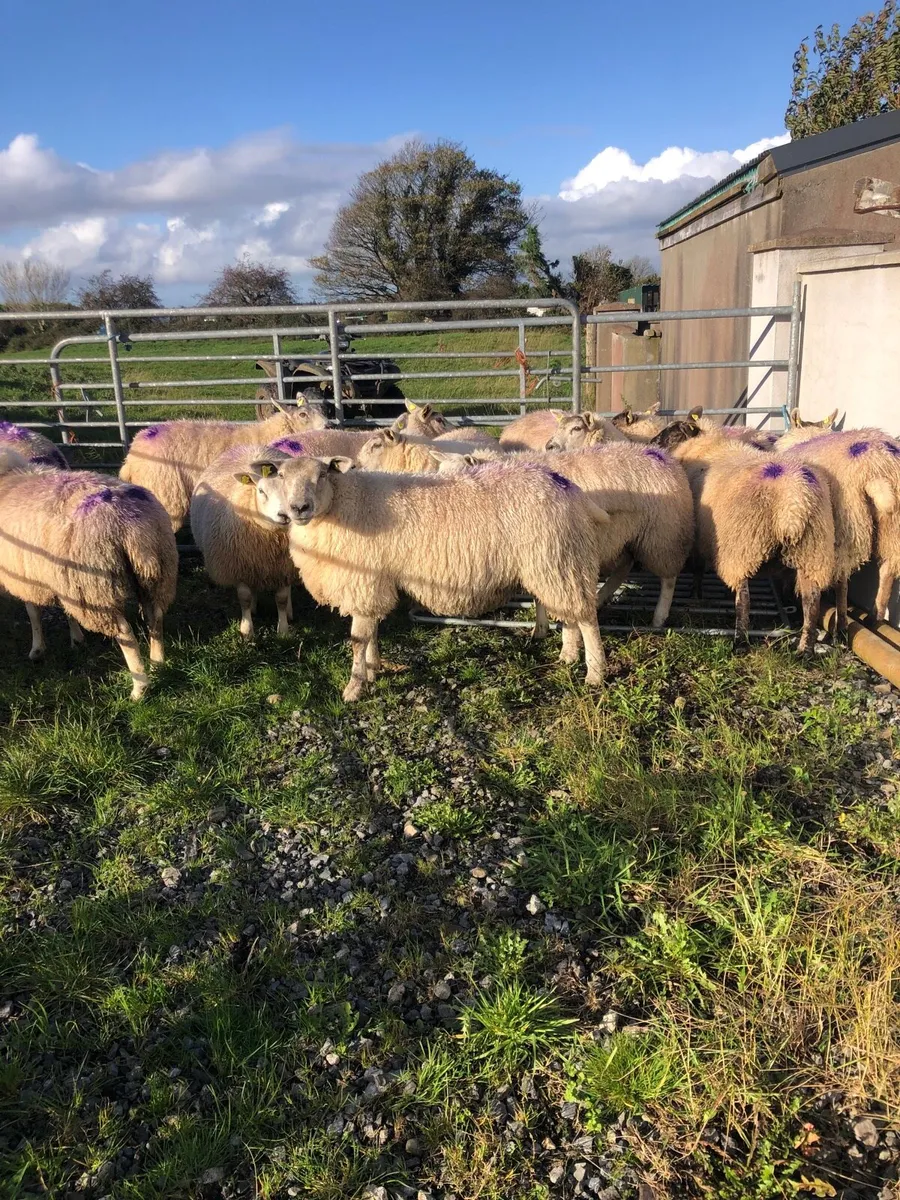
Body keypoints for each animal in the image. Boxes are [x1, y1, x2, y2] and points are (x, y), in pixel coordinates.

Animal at [0, 453, 178, 699]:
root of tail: (130, 525)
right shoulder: (59, 579)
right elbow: (65, 611)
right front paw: (76, 639)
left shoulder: (24, 575)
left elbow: (32, 612)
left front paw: (37, 649)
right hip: (154, 572)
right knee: (156, 617)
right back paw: (157, 664)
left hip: (95, 586)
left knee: (125, 634)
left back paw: (139, 688)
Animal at [190, 444, 296, 639]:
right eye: (261, 491)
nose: (285, 516)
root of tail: (252, 446)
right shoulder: (239, 565)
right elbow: (244, 598)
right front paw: (247, 630)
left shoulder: (284, 567)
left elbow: (282, 599)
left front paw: (283, 630)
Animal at [251, 454, 613, 700]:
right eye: (280, 475)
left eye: (323, 473)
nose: (298, 508)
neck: (344, 502)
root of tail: (565, 485)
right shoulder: (374, 582)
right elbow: (371, 633)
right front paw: (373, 668)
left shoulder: (363, 581)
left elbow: (357, 639)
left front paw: (354, 687)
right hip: (556, 563)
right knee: (570, 615)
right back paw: (567, 657)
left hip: (558, 557)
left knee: (586, 618)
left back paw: (595, 674)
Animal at [430, 443, 694, 630]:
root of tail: (665, 456)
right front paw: (542, 624)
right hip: (627, 534)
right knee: (624, 567)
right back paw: (601, 598)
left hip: (663, 533)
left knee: (669, 577)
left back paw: (659, 616)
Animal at [652, 421, 835, 650]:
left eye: (672, 432)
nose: (652, 443)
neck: (705, 447)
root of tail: (793, 504)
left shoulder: (699, 537)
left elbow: (698, 570)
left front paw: (696, 596)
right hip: (812, 553)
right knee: (811, 603)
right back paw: (805, 649)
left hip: (742, 547)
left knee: (744, 600)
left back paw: (740, 640)